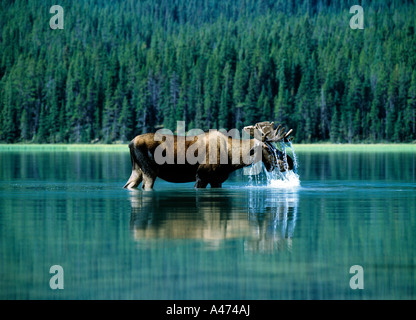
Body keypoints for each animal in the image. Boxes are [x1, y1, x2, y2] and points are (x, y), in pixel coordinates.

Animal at [122, 121, 292, 189]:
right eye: (268, 148)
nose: (288, 162)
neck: (232, 160)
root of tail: (130, 143)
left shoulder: (217, 180)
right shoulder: (201, 176)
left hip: (136, 170)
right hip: (149, 171)